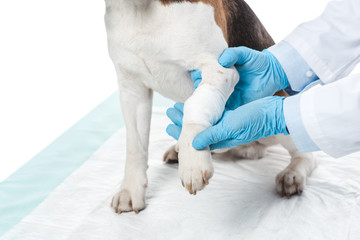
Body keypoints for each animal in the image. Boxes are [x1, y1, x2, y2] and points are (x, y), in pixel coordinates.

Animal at [105, 0, 318, 214]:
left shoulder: (218, 68)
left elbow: (196, 105)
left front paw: (192, 161)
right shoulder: (132, 88)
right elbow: (135, 146)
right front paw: (130, 189)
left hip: (278, 107)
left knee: (307, 153)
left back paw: (292, 175)